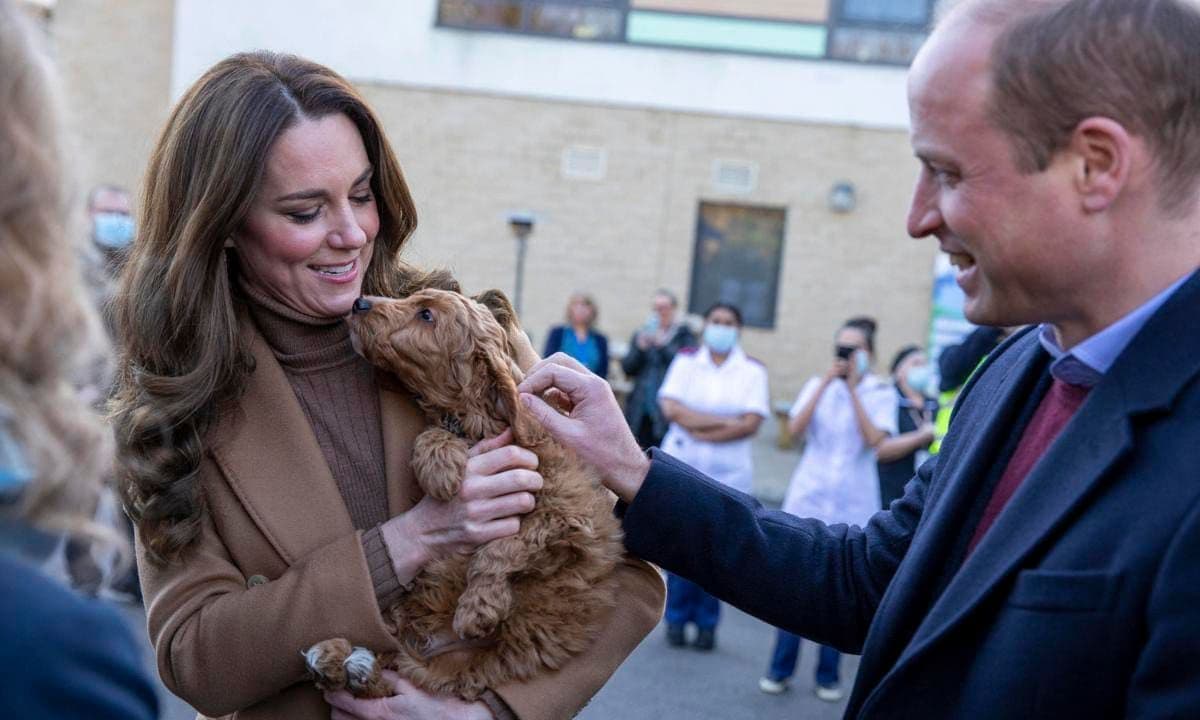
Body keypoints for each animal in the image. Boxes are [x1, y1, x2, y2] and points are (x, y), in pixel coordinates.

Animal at [304, 289, 624, 700]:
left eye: (426, 315)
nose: (359, 303)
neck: (478, 423)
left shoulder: (567, 516)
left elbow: (503, 546)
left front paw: (477, 608)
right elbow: (432, 435)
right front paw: (440, 467)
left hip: (458, 671)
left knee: (403, 672)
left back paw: (349, 664)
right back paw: (335, 657)